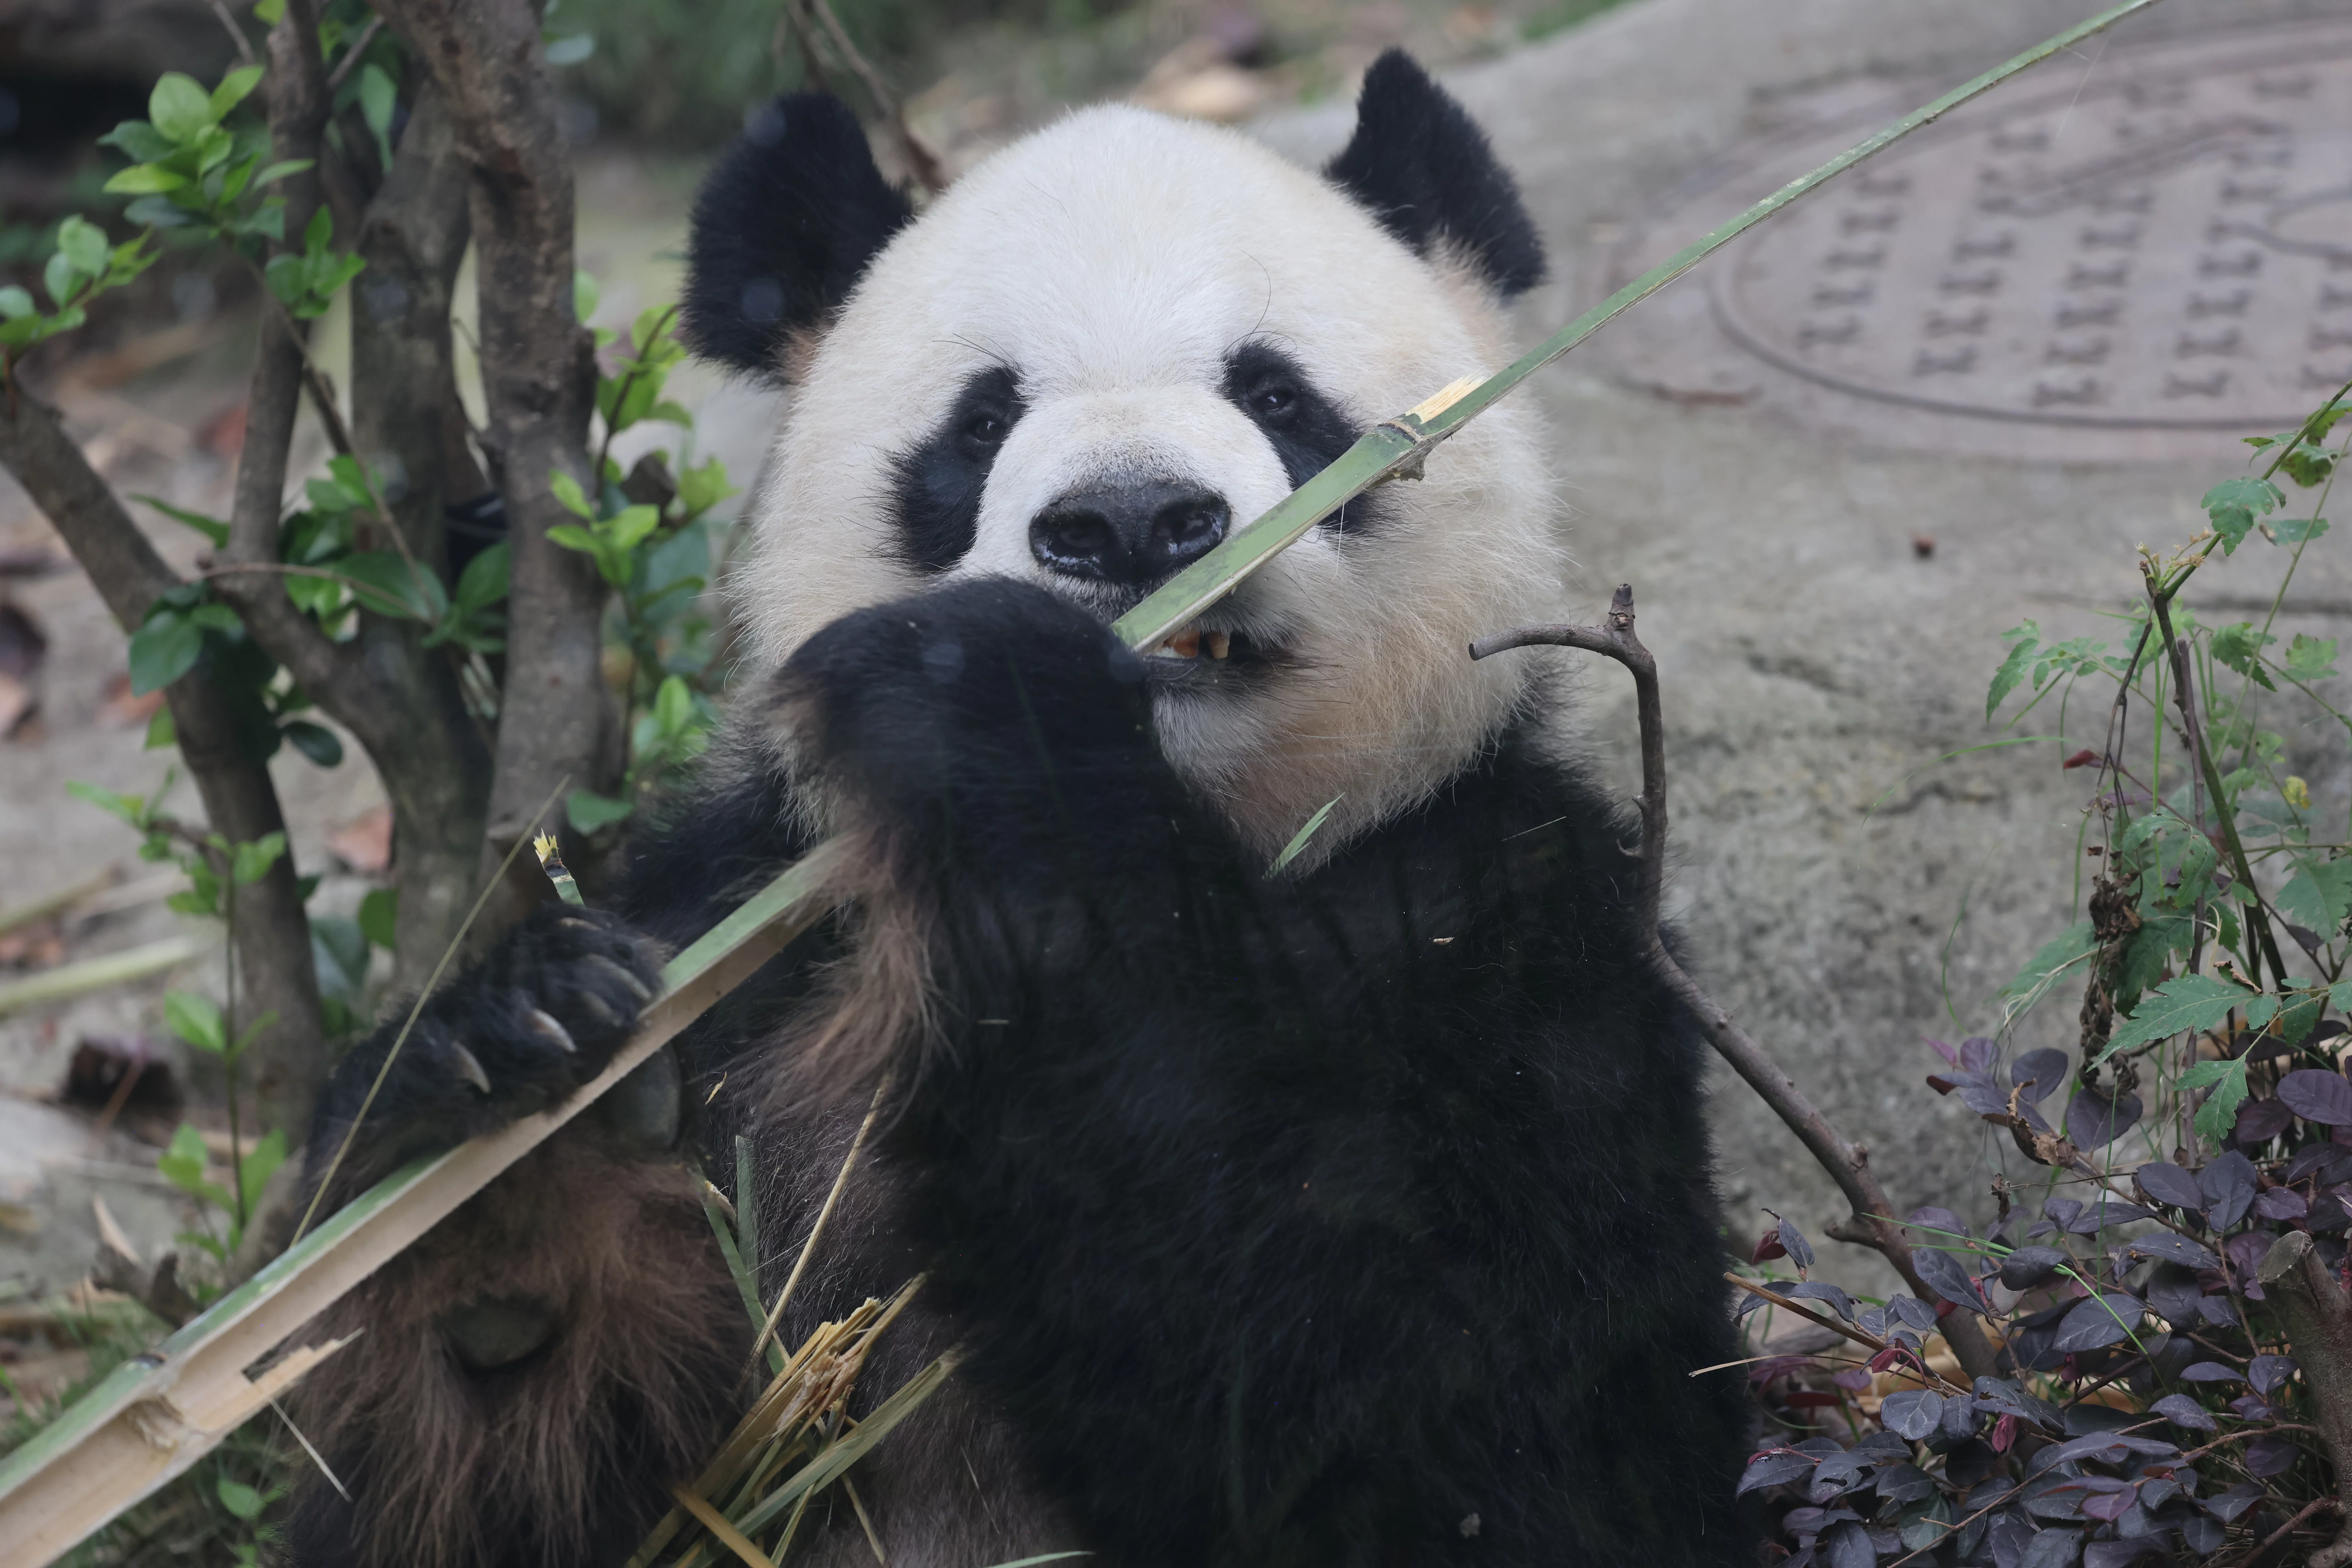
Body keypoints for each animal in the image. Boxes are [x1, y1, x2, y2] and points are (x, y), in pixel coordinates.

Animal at [288, 51, 1751, 1568]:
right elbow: (559, 1500)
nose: (1132, 522)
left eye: (1277, 396)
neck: (1214, 823)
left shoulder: (1512, 914)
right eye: (981, 421)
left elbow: (1492, 1425)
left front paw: (1001, 716)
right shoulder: (752, 935)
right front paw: (498, 1110)